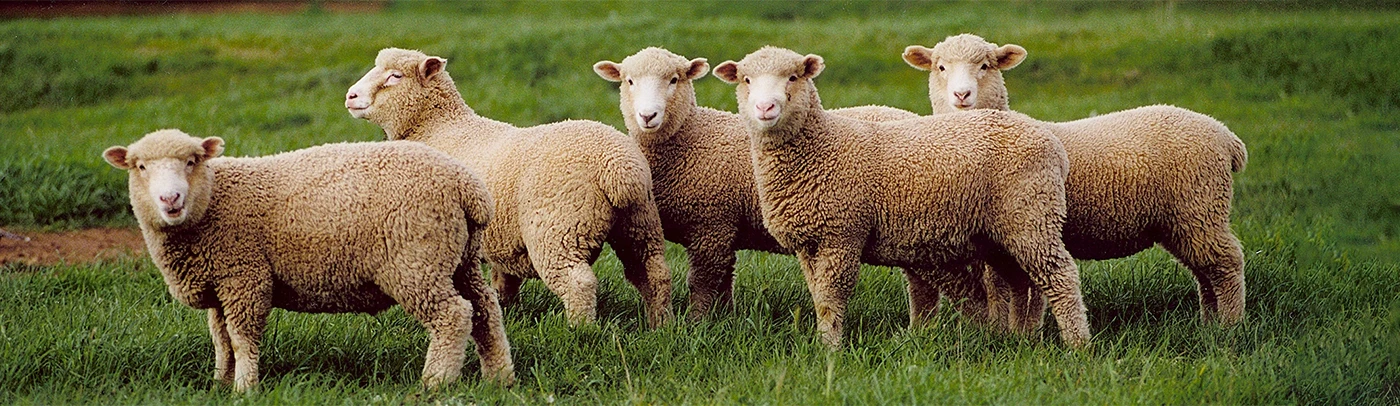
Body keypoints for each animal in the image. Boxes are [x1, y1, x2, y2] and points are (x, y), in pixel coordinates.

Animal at [101, 129, 514, 392]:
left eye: (191, 161)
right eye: (139, 167)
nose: (170, 199)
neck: (213, 204)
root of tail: (468, 186)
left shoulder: (245, 276)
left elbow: (242, 337)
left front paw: (244, 387)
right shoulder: (221, 283)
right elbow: (221, 339)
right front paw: (220, 381)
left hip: (416, 261)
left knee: (453, 315)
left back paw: (435, 382)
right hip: (459, 260)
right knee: (485, 310)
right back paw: (499, 377)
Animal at [346, 48, 673, 328]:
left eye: (395, 76)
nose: (350, 96)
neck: (438, 127)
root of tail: (618, 165)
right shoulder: (501, 242)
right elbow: (503, 284)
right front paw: (505, 314)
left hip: (558, 228)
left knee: (578, 282)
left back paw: (580, 331)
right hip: (639, 222)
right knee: (654, 273)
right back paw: (661, 325)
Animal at [591, 47, 919, 318]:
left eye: (673, 80)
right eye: (629, 81)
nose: (648, 115)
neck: (692, 135)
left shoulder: (712, 225)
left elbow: (702, 283)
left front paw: (696, 324)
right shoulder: (722, 230)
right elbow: (723, 282)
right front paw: (723, 321)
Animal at [713, 46, 1091, 348]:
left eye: (793, 77)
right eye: (746, 80)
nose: (765, 107)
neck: (821, 147)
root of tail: (1051, 142)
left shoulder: (842, 234)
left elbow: (832, 296)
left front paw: (831, 348)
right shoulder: (810, 242)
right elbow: (818, 296)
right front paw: (824, 341)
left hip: (1031, 214)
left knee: (1060, 276)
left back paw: (1077, 345)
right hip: (1002, 230)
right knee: (1021, 280)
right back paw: (1020, 337)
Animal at [902, 34, 1248, 330]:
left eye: (986, 66)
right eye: (940, 67)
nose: (962, 95)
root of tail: (1226, 136)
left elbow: (1003, 289)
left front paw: (1009, 332)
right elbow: (1020, 290)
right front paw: (1020, 331)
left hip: (1201, 205)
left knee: (1227, 263)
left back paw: (1230, 325)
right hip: (1183, 221)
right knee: (1205, 271)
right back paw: (1210, 322)